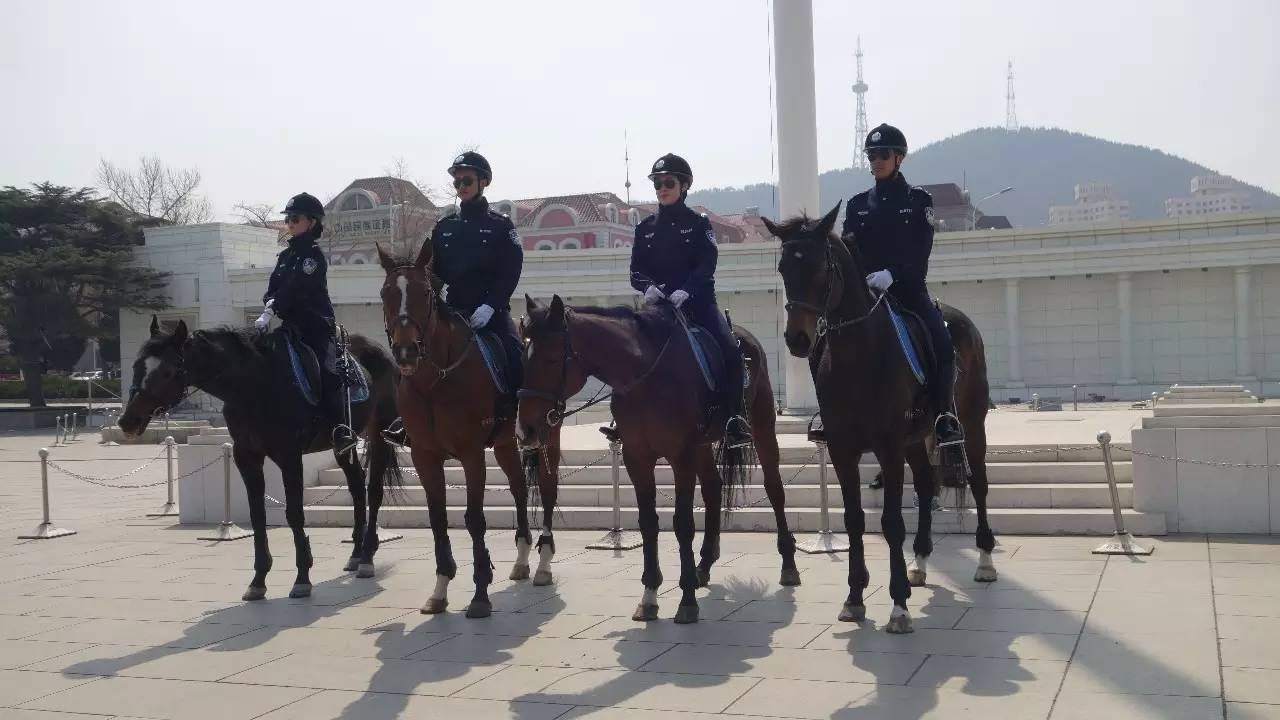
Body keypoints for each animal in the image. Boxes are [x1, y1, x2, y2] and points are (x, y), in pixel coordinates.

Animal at [119, 315, 401, 599]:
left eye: (167, 372)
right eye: (136, 366)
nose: (128, 421)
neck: (254, 385)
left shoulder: (289, 456)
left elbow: (294, 514)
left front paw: (302, 577)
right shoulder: (247, 458)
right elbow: (257, 515)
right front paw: (258, 580)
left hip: (379, 431)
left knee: (373, 490)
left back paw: (367, 557)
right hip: (343, 443)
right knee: (356, 484)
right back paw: (355, 554)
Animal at [373, 240, 558, 617]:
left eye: (425, 292)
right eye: (385, 293)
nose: (405, 351)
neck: (434, 382)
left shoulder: (472, 455)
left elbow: (474, 519)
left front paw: (480, 593)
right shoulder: (424, 457)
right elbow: (438, 519)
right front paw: (440, 589)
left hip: (543, 440)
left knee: (546, 491)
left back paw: (544, 564)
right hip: (505, 445)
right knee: (519, 489)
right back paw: (522, 559)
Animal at [512, 292, 793, 622]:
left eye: (552, 359)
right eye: (522, 358)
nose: (525, 430)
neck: (645, 377)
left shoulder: (681, 456)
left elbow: (683, 523)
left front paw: (686, 599)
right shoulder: (637, 457)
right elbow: (648, 522)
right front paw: (649, 595)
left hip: (762, 425)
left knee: (774, 488)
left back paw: (788, 565)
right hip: (702, 446)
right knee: (713, 488)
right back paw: (704, 566)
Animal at [762, 204, 993, 630]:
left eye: (820, 267)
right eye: (783, 268)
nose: (797, 339)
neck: (859, 355)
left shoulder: (887, 448)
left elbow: (890, 522)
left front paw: (898, 604)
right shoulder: (843, 449)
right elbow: (854, 519)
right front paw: (855, 596)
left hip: (970, 425)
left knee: (978, 482)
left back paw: (984, 559)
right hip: (915, 439)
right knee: (925, 487)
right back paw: (920, 562)